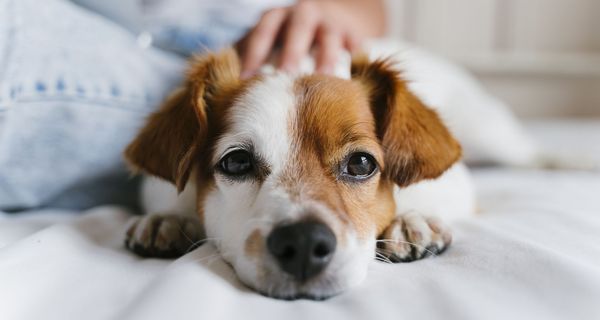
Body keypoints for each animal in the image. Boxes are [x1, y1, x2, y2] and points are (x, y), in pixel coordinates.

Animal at [119, 42, 532, 298]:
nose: (303, 243)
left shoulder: (455, 181)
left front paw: (413, 218)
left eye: (361, 163)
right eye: (236, 162)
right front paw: (170, 218)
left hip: (493, 136)